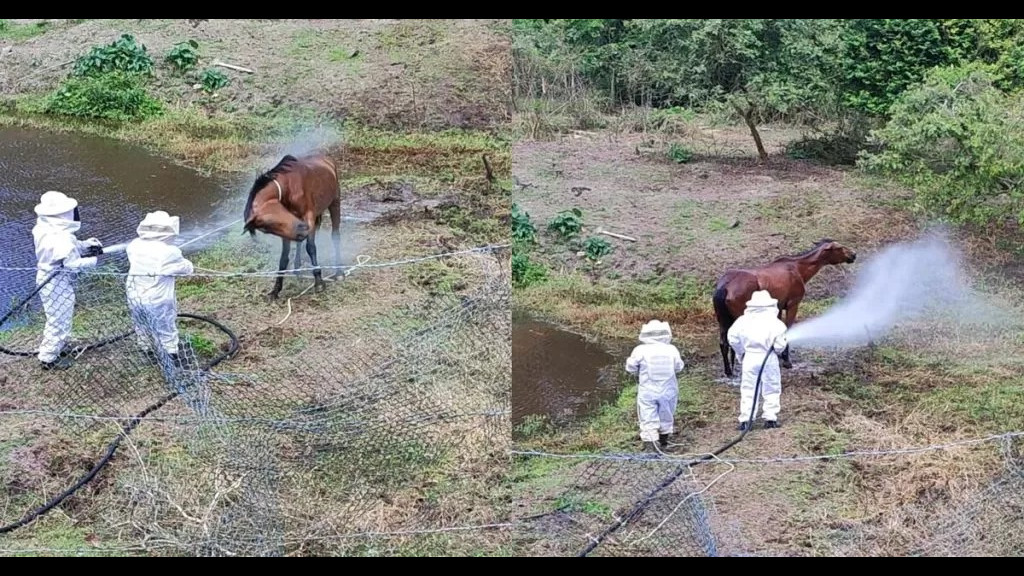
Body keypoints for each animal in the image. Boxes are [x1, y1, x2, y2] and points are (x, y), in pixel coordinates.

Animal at [241, 150, 342, 297]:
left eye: (270, 222)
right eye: (267, 229)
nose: (302, 230)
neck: (288, 185)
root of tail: (326, 159)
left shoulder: (308, 216)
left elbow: (311, 247)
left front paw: (318, 282)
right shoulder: (290, 229)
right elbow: (284, 258)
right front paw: (276, 290)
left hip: (334, 202)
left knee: (335, 236)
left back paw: (339, 272)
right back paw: (297, 268)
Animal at [712, 237, 856, 377]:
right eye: (839, 247)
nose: (853, 255)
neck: (799, 269)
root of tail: (724, 287)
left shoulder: (779, 308)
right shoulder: (793, 304)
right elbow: (787, 330)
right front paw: (786, 360)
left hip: (723, 320)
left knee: (723, 343)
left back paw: (728, 371)